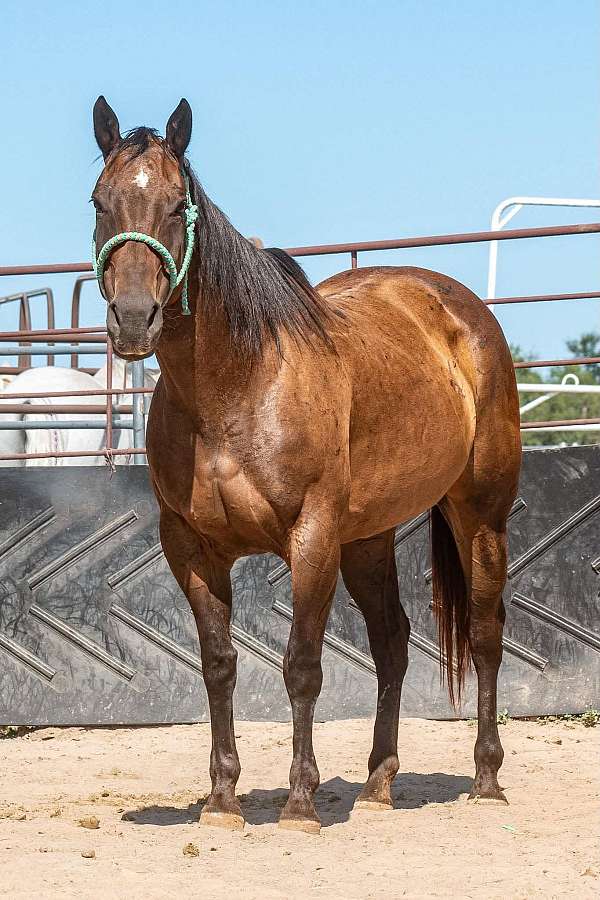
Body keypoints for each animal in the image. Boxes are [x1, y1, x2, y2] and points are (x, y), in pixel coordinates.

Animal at [91, 96, 522, 834]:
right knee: (393, 642)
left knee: (487, 634)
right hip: (368, 538)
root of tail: (459, 310)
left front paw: (298, 802)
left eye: (177, 207)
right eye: (99, 203)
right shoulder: (189, 548)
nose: (132, 319)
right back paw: (378, 783)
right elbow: (218, 664)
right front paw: (222, 799)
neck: (235, 387)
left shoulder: (311, 537)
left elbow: (301, 666)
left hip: (480, 518)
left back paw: (487, 779)